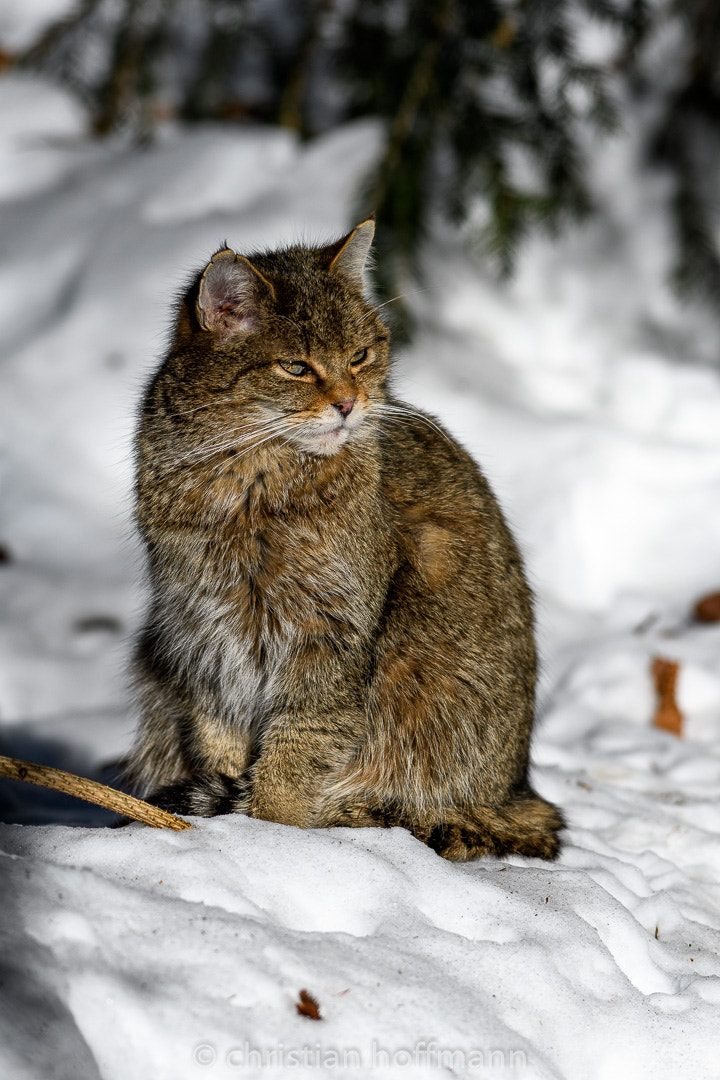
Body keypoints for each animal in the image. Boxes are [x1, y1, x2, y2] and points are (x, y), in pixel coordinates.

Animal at [125, 221, 561, 859]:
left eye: (359, 356)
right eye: (295, 367)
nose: (349, 403)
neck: (249, 479)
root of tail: (516, 794)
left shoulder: (329, 637)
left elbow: (296, 753)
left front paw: (272, 835)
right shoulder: (202, 632)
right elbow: (219, 737)